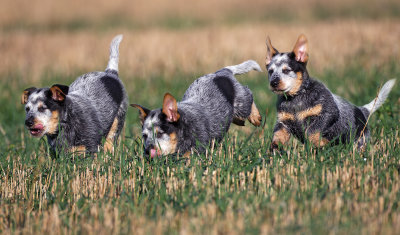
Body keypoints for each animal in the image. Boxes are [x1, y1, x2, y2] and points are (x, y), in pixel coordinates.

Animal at [131, 60, 262, 158]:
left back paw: (255, 117)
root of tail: (222, 72)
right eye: (144, 136)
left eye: (159, 133)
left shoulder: (199, 147)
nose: (147, 151)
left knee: (248, 93)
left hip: (242, 103)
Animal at [264, 34, 396, 150]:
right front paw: (274, 149)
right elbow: (277, 137)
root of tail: (362, 110)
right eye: (270, 71)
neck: (295, 100)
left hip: (359, 140)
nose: (273, 83)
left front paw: (317, 144)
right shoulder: (283, 123)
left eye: (286, 70)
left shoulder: (328, 113)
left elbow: (312, 131)